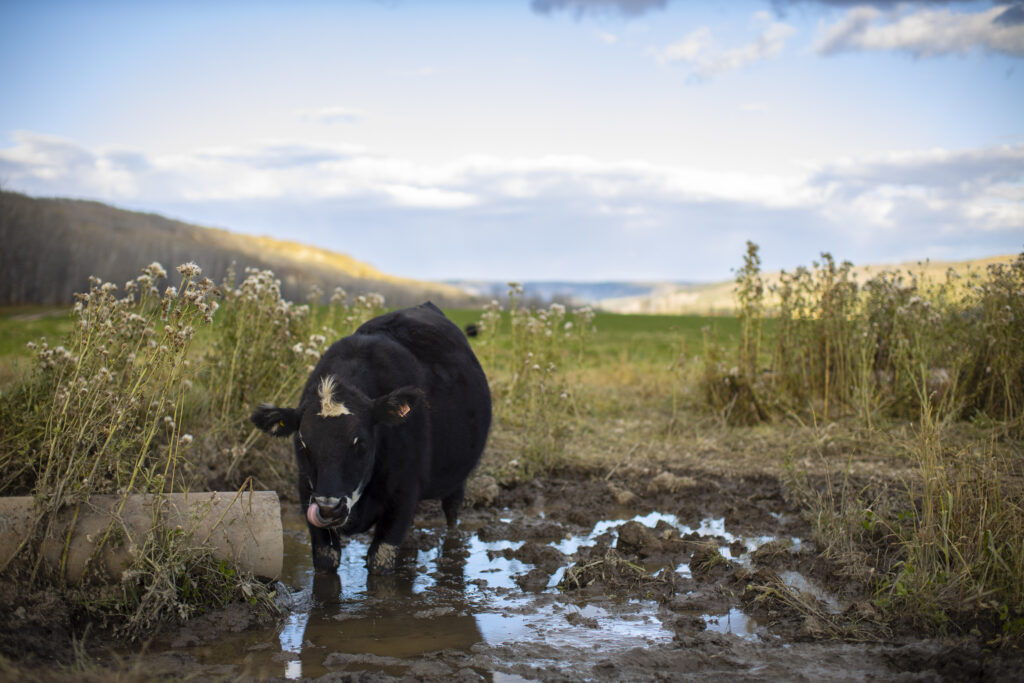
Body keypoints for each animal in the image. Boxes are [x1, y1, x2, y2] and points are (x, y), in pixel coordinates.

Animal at [247, 301, 487, 573]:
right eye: (303, 444)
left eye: (359, 443)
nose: (329, 509)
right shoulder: (305, 492)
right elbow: (325, 560)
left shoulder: (404, 494)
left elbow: (380, 560)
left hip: (457, 480)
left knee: (452, 511)